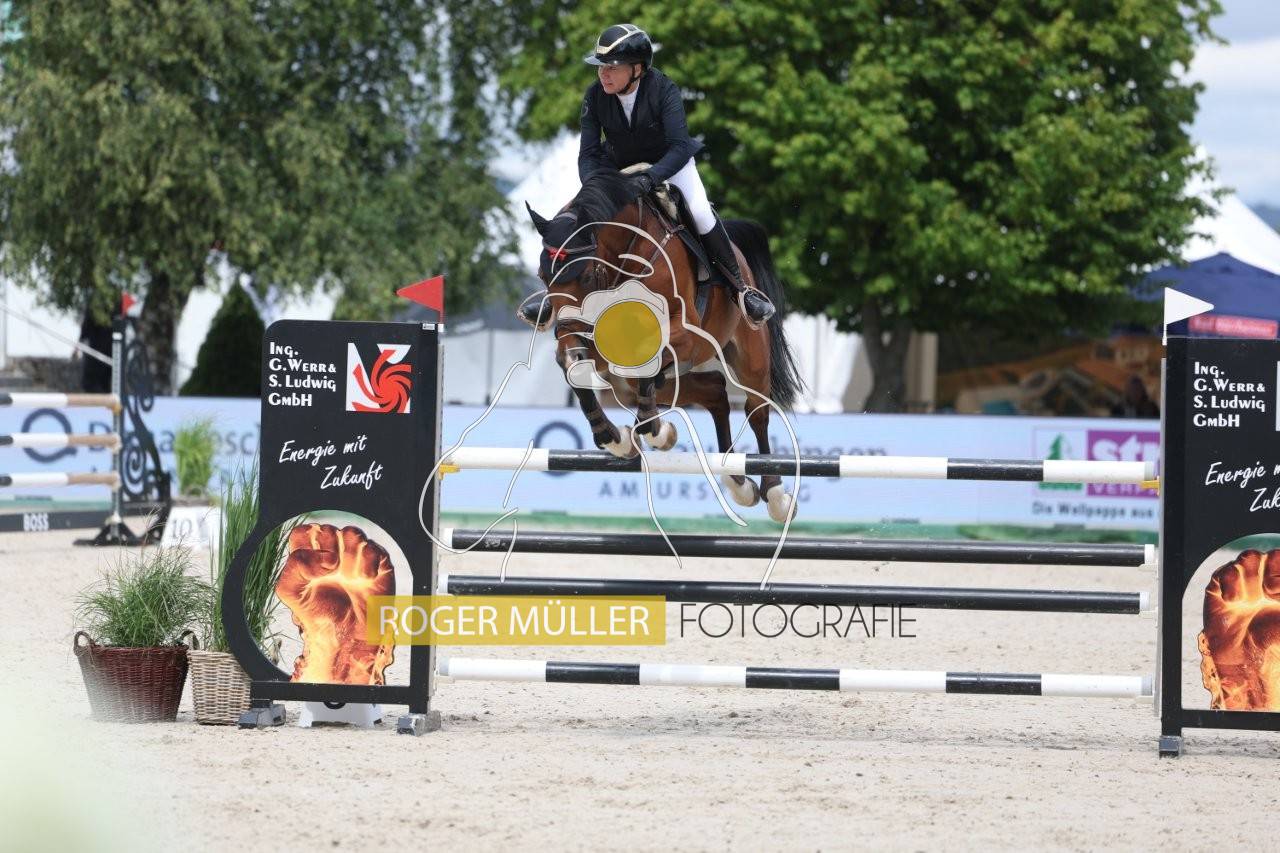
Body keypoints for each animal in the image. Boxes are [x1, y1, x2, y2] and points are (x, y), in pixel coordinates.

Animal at [520, 168, 804, 522]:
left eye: (585, 276)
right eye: (543, 276)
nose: (564, 330)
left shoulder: (684, 334)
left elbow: (647, 357)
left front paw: (655, 432)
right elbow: (574, 367)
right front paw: (616, 438)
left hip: (750, 357)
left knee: (757, 412)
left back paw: (776, 495)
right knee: (715, 391)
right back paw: (736, 481)